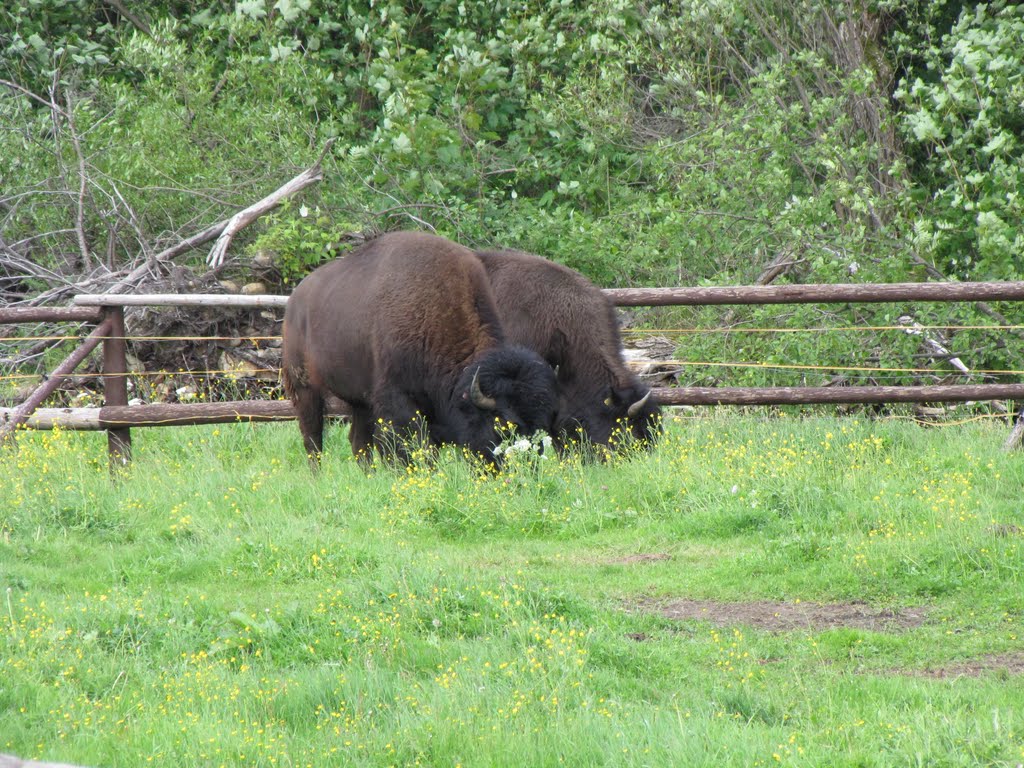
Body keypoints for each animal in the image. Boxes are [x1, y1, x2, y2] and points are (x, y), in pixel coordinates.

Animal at [282, 231, 561, 466]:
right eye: (503, 426)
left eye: (542, 426)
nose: (526, 471)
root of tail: (294, 302)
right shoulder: (398, 402)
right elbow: (412, 450)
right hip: (304, 387)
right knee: (312, 439)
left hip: (358, 400)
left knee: (358, 442)